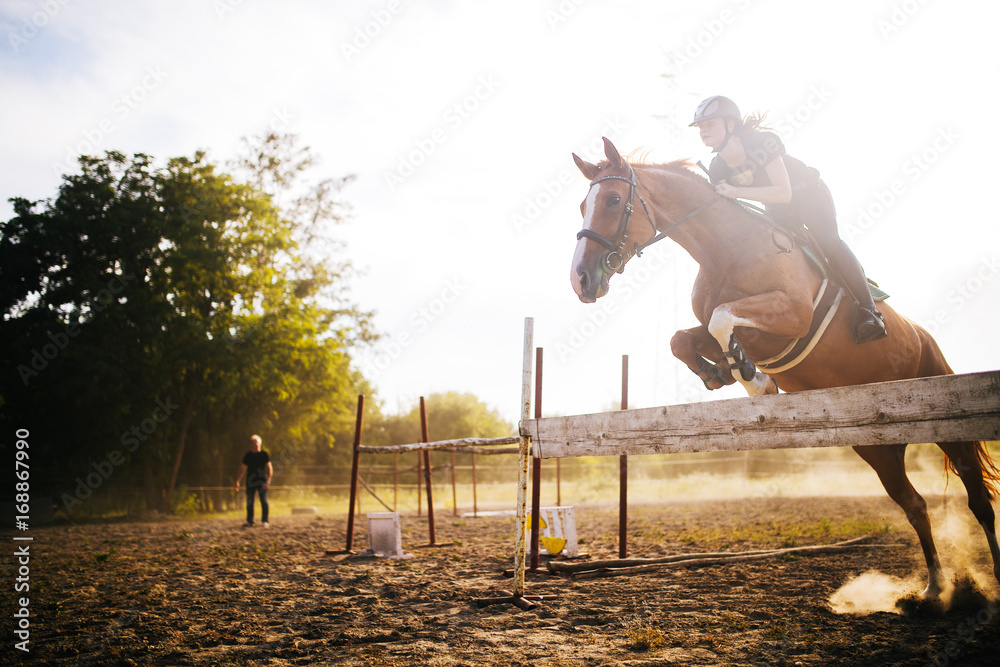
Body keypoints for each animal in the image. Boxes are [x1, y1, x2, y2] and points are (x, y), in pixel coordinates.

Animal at [570, 137, 1000, 599]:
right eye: (582, 204)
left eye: (614, 200)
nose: (580, 280)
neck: (724, 250)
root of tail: (924, 337)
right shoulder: (735, 328)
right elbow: (685, 338)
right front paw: (721, 372)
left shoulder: (791, 315)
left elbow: (723, 318)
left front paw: (754, 379)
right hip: (876, 447)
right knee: (915, 505)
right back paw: (934, 587)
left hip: (947, 423)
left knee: (978, 500)